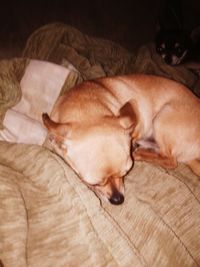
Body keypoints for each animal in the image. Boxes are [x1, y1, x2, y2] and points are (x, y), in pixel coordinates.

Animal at [42, 75, 200, 205]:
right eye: (94, 182)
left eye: (125, 173)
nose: (118, 200)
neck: (83, 106)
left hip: (162, 117)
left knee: (170, 160)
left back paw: (139, 152)